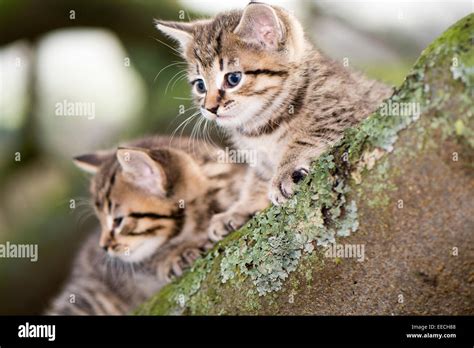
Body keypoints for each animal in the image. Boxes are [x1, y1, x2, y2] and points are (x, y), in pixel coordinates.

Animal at [156, 2, 392, 237]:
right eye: (200, 85)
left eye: (233, 78)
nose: (210, 108)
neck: (262, 126)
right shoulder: (259, 161)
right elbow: (256, 180)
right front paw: (241, 208)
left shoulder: (346, 112)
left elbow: (309, 138)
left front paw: (286, 171)